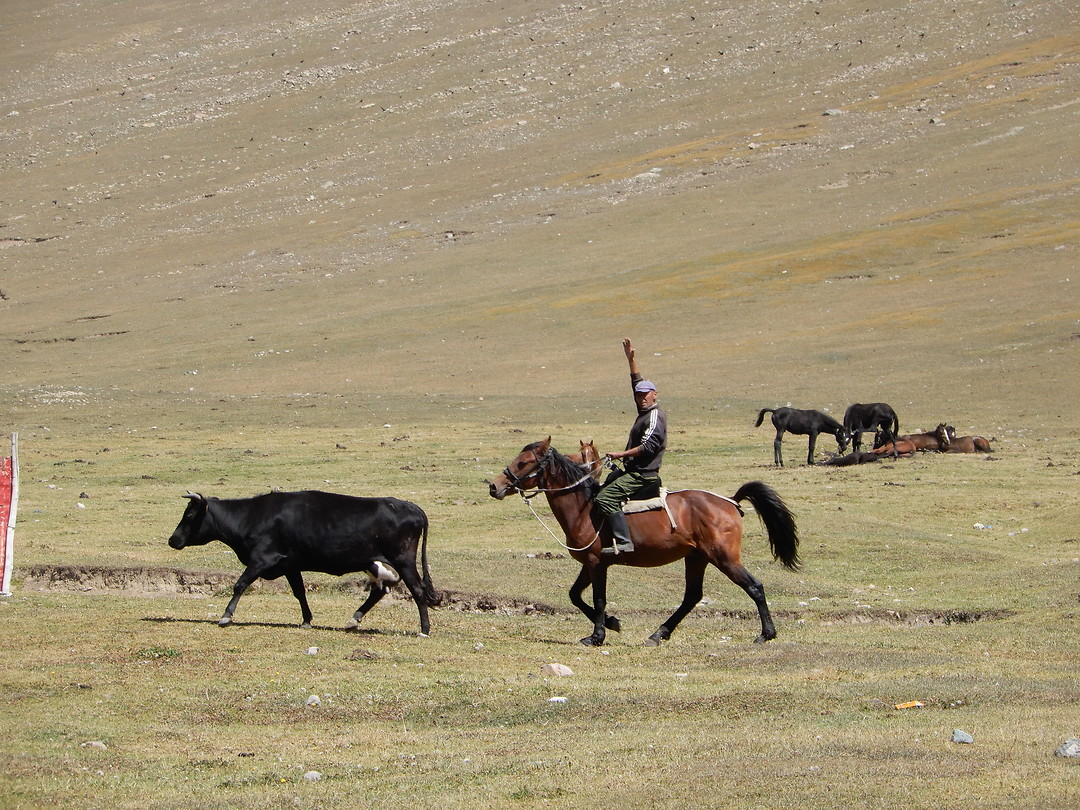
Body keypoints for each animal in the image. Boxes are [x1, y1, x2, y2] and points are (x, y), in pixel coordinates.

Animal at [168, 490, 440, 635]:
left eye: (189, 515)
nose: (173, 539)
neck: (251, 517)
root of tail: (410, 507)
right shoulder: (290, 565)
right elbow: (299, 592)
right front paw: (307, 620)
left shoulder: (262, 559)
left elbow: (240, 584)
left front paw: (226, 616)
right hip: (374, 561)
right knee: (381, 589)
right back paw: (354, 619)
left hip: (403, 560)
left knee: (417, 590)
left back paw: (424, 629)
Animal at [488, 437, 800, 647]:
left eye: (523, 462)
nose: (494, 486)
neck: (584, 508)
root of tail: (731, 502)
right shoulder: (588, 563)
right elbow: (574, 595)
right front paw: (612, 623)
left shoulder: (597, 563)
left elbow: (597, 599)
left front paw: (598, 635)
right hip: (697, 558)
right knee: (692, 596)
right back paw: (659, 633)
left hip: (724, 558)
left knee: (754, 587)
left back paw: (766, 634)